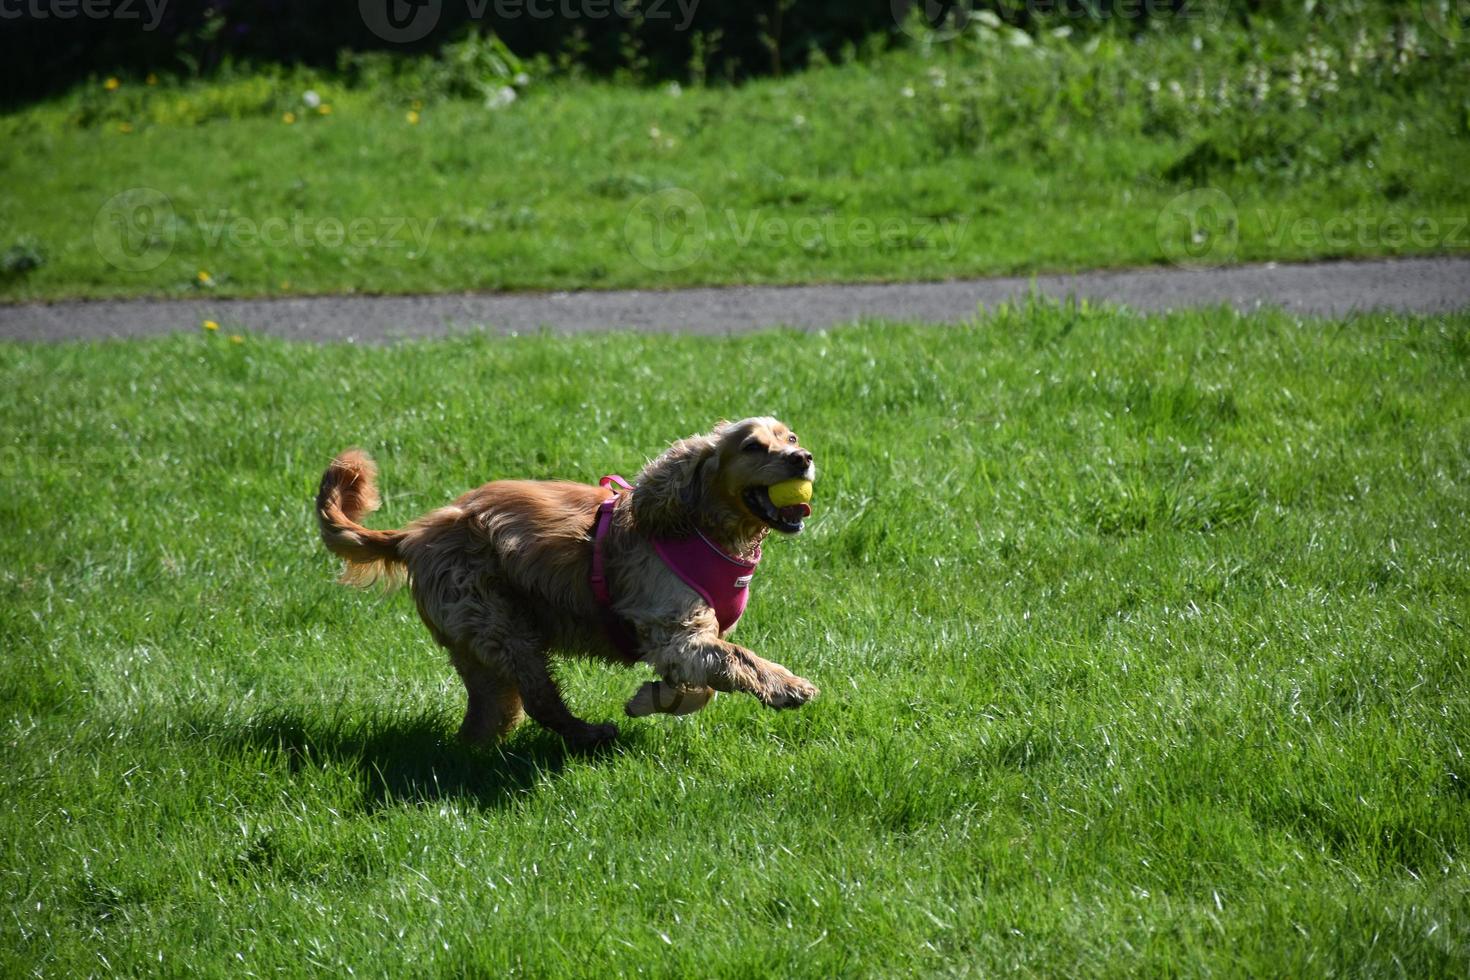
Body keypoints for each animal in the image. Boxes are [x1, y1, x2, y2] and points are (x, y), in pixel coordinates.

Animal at [316, 417, 823, 752]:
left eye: (791, 437)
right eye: (753, 446)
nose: (803, 459)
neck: (701, 526)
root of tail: (411, 535)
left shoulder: (687, 640)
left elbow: (703, 687)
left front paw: (652, 698)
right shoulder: (675, 630)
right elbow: (737, 659)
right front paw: (788, 686)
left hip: (477, 643)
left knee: (490, 711)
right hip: (502, 624)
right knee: (539, 701)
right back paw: (589, 734)